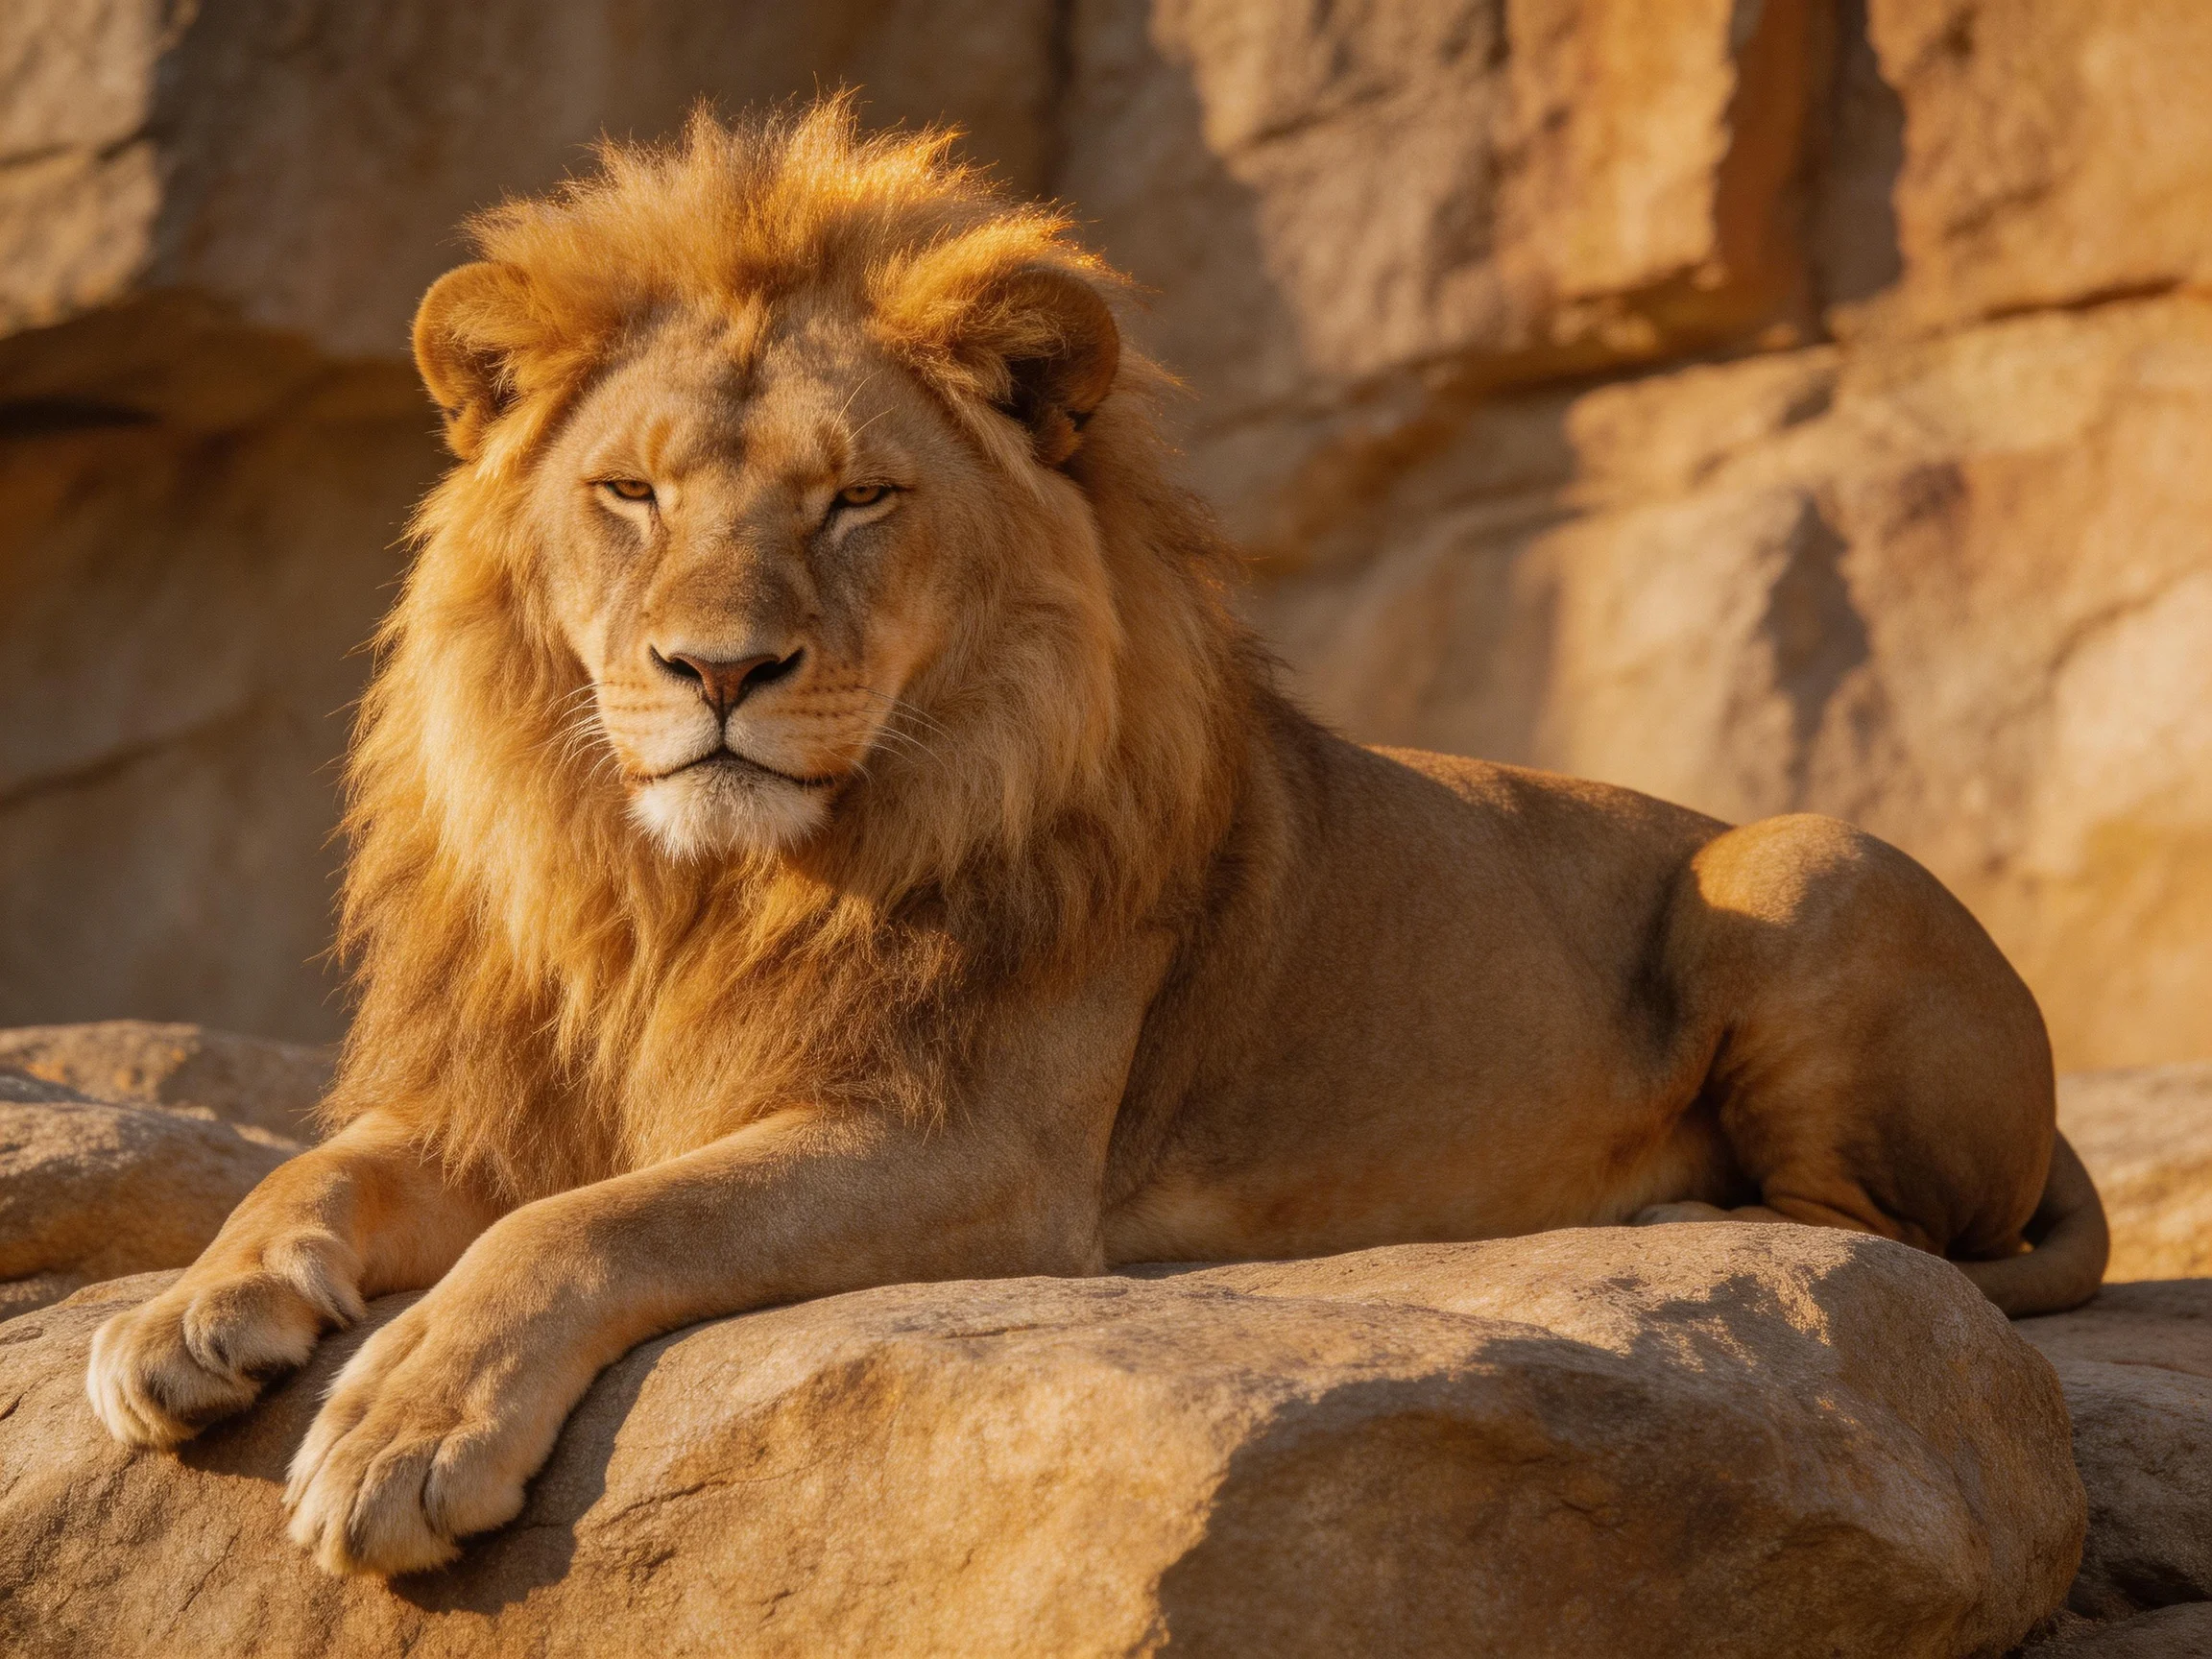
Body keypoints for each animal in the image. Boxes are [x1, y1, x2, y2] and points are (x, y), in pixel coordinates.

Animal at [85, 101, 2108, 1577]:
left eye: (858, 499)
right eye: (629, 493)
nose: (717, 670)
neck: (695, 892)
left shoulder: (967, 1147)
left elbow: (595, 1219)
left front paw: (404, 1422)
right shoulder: (505, 1092)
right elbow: (323, 1168)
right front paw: (190, 1316)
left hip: (1792, 859)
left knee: (1888, 1245)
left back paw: (1667, 1198)